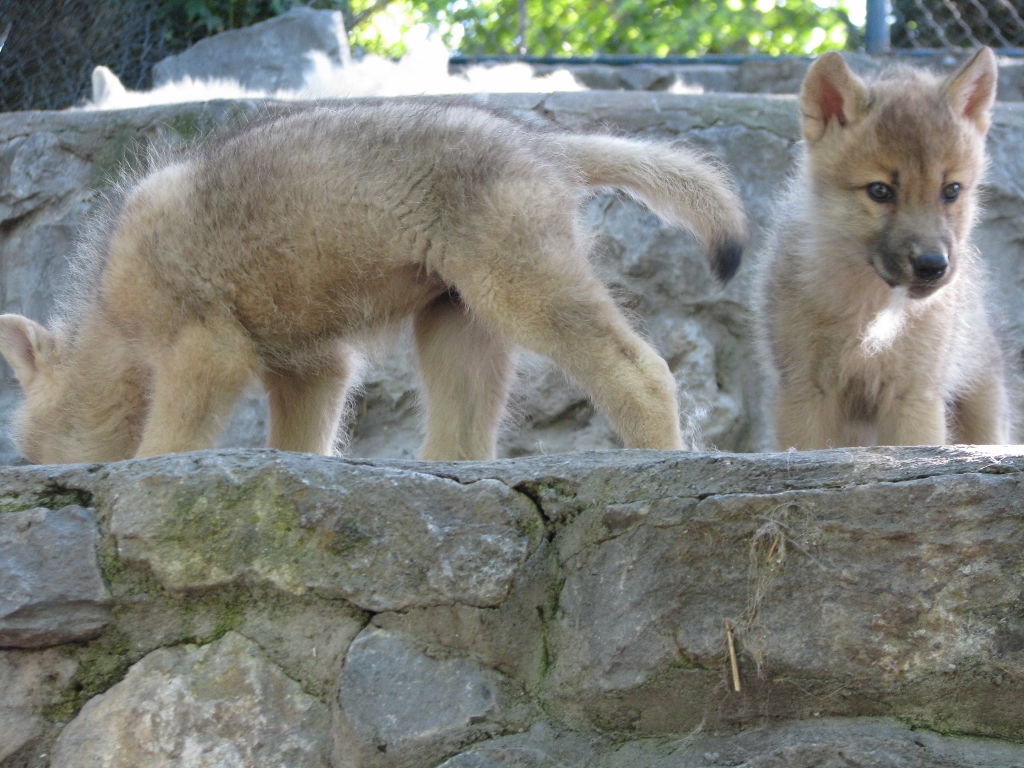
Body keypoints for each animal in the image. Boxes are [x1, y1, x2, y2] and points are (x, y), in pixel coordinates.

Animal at [0, 101, 747, 464]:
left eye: (30, 448)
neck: (110, 315)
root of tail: (545, 145)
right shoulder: (312, 368)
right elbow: (299, 444)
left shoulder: (206, 348)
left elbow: (164, 443)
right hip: (454, 320)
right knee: (466, 437)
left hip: (522, 288)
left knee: (641, 370)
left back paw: (663, 461)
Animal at [755, 48, 1011, 449]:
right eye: (879, 191)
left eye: (951, 190)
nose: (932, 265)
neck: (871, 312)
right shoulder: (806, 392)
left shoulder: (914, 397)